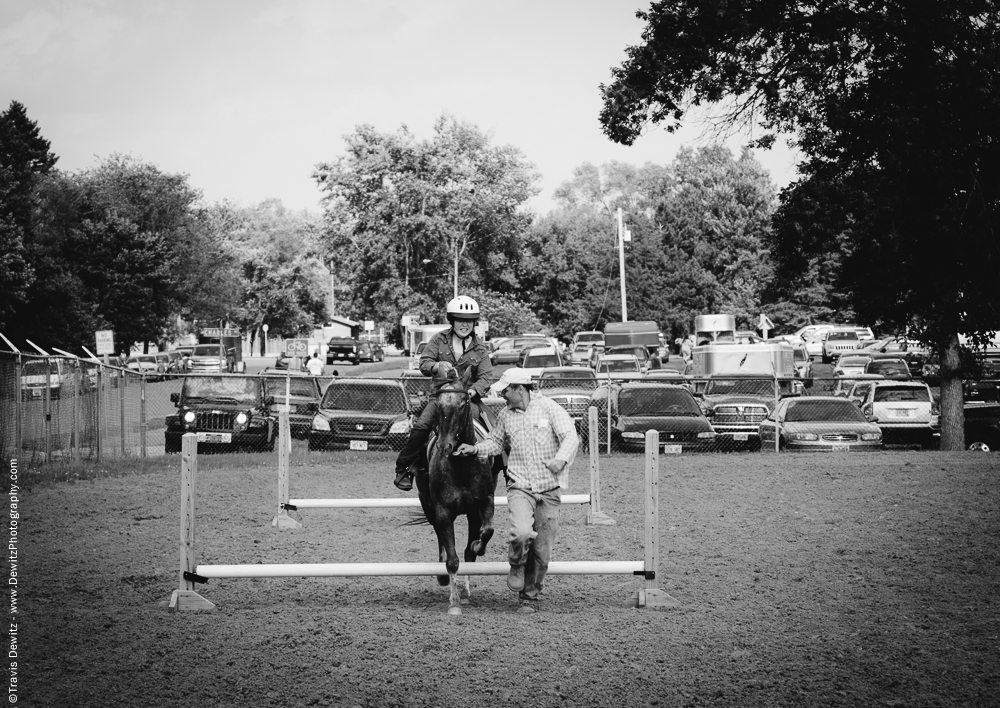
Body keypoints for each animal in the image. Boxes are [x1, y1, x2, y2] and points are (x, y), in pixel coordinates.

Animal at [412, 366, 498, 612]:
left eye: (462, 404)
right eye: (439, 406)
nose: (444, 446)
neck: (462, 464)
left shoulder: (484, 503)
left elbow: (484, 535)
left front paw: (479, 547)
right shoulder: (442, 511)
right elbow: (451, 558)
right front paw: (454, 601)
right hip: (428, 505)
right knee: (441, 540)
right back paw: (443, 578)